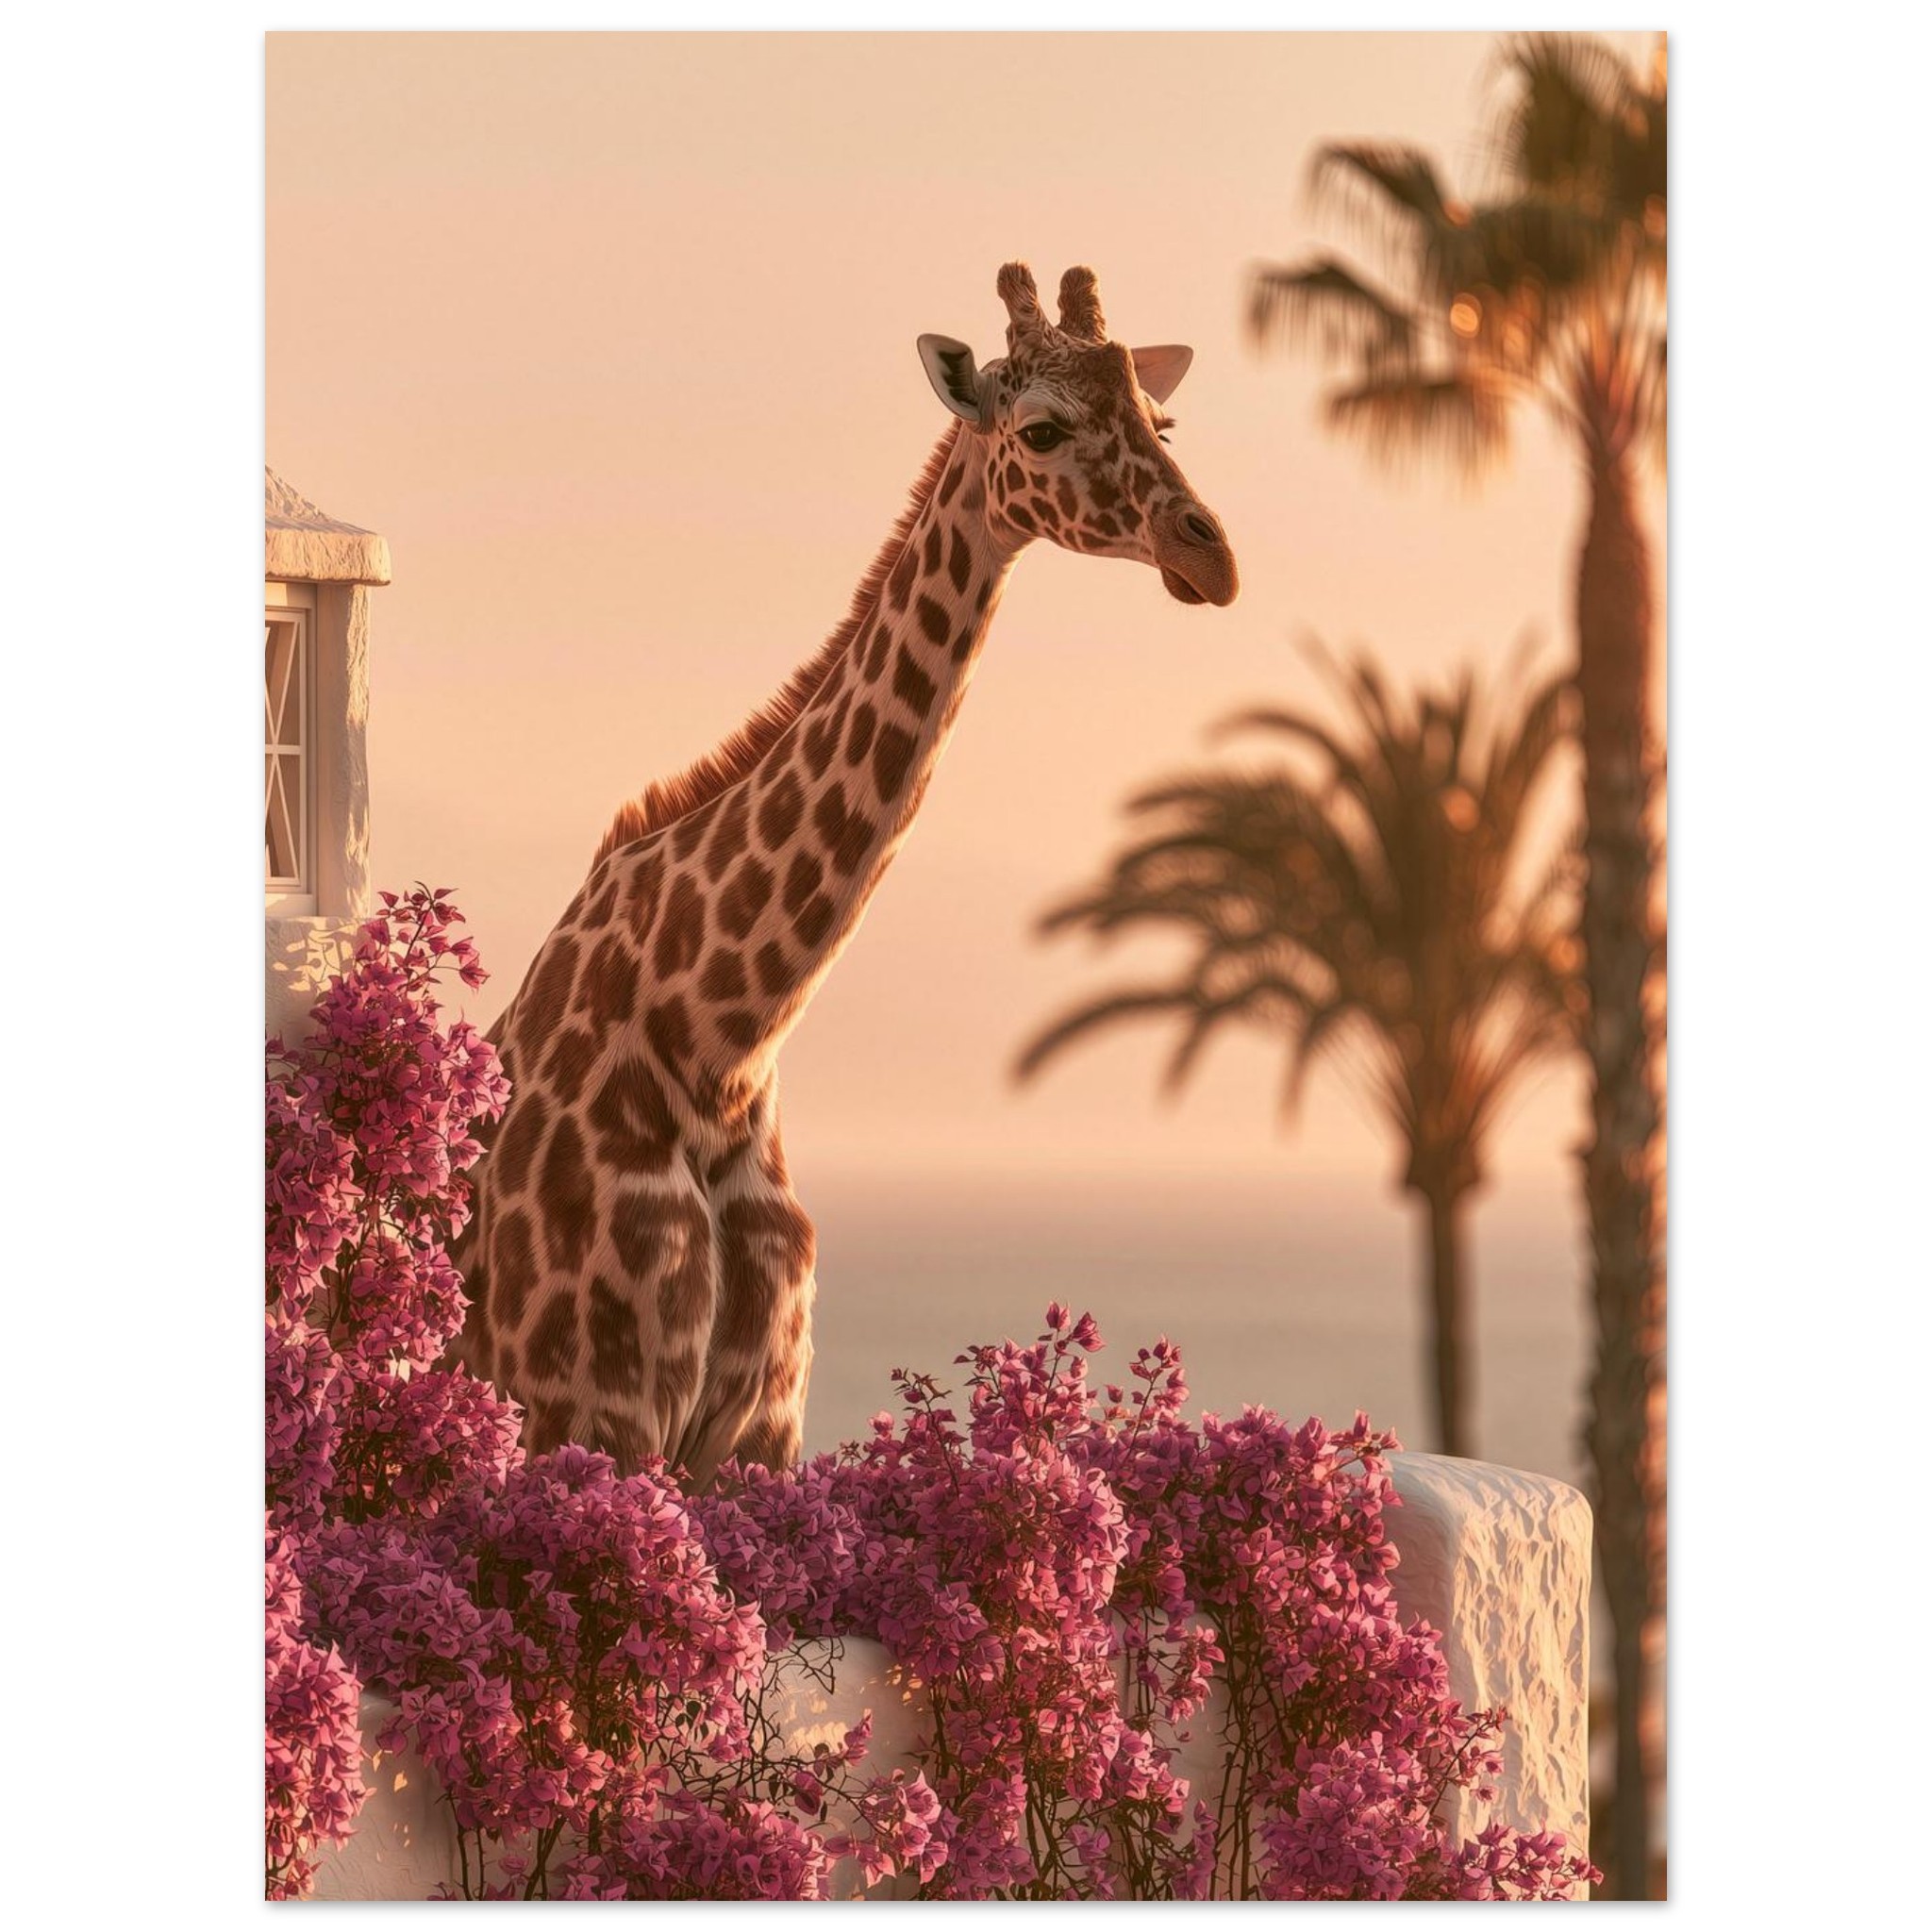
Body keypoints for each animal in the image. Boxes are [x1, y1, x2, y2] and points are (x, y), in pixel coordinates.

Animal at [450, 262, 1239, 1488]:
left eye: (1161, 422)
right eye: (1042, 427)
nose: (1210, 556)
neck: (716, 1043)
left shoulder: (756, 1431)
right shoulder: (587, 1409)